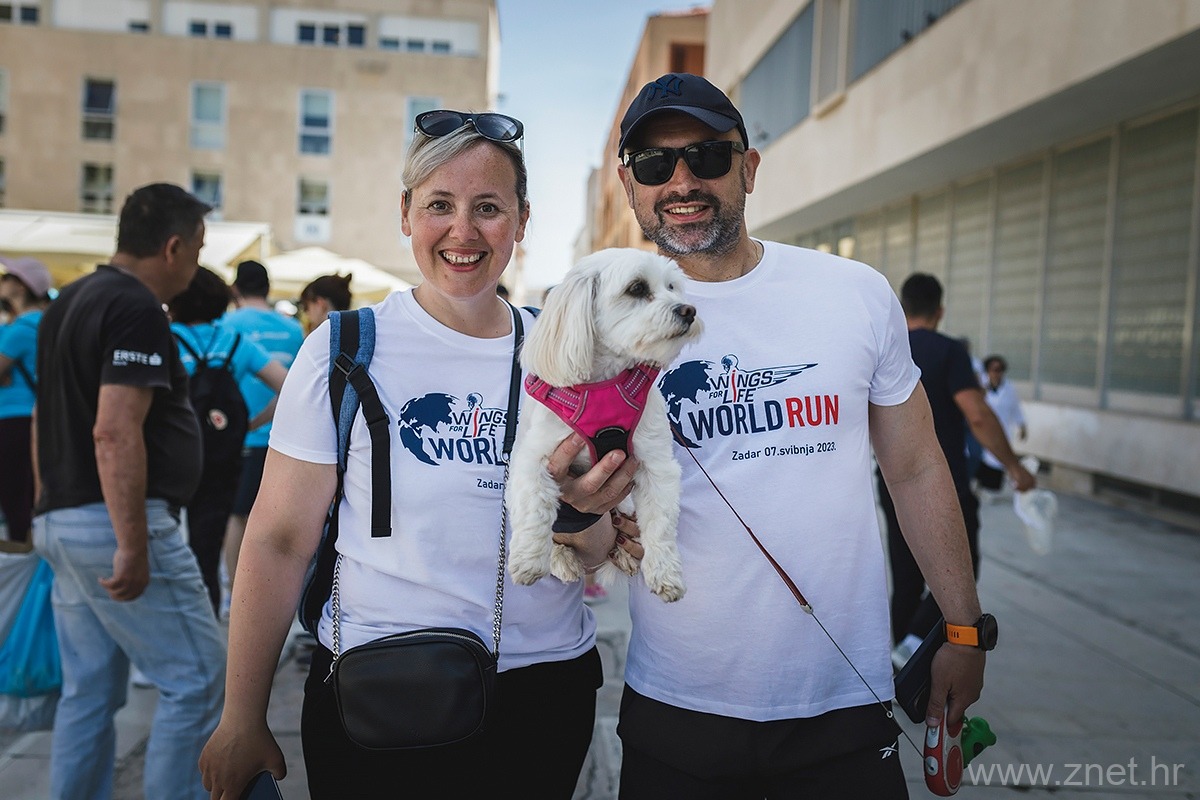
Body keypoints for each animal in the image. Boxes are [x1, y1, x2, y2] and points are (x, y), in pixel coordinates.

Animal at [505, 247, 702, 602]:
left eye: (672, 287)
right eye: (637, 288)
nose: (689, 310)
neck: (604, 384)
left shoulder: (656, 464)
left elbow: (661, 523)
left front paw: (665, 572)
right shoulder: (531, 458)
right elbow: (535, 508)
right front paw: (528, 560)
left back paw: (623, 552)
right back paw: (561, 559)